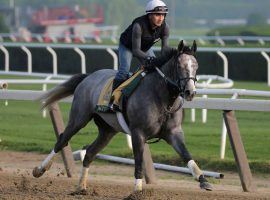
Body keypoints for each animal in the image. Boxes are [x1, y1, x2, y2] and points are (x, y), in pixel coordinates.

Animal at [32, 40, 212, 192]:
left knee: (89, 152)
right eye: (180, 66)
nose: (190, 92)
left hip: (107, 130)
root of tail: (89, 76)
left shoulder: (173, 133)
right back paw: (39, 170)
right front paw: (137, 189)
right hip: (79, 117)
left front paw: (203, 180)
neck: (162, 98)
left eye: (196, 66)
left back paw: (81, 187)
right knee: (63, 140)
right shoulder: (138, 133)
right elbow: (138, 160)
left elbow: (186, 154)